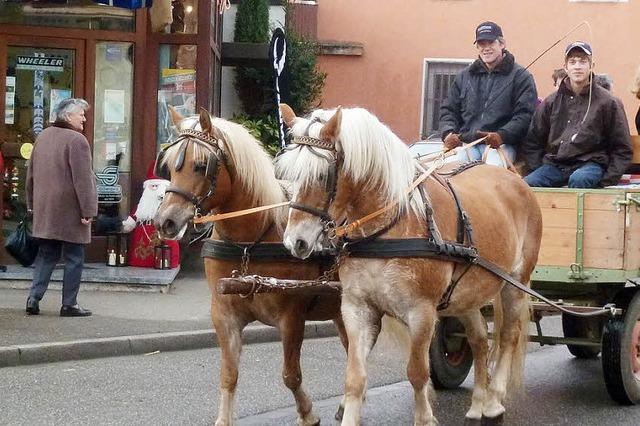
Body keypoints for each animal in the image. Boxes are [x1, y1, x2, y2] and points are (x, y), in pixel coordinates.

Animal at [153, 109, 348, 426]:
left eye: (201, 165)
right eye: (168, 166)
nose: (164, 222)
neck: (249, 241)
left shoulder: (292, 318)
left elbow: (291, 375)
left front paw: (307, 413)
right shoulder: (224, 315)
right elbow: (229, 375)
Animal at [278, 105, 544, 426]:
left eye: (321, 175)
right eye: (285, 173)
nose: (295, 242)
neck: (389, 225)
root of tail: (516, 179)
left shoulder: (422, 312)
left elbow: (417, 373)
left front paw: (425, 418)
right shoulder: (357, 309)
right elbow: (354, 378)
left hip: (515, 282)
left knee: (507, 336)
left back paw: (493, 401)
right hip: (466, 294)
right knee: (479, 339)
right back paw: (479, 402)